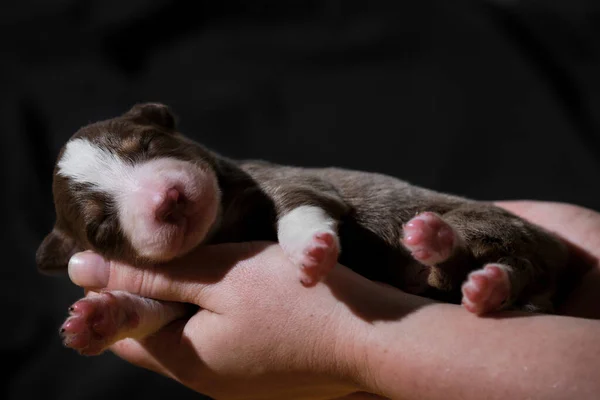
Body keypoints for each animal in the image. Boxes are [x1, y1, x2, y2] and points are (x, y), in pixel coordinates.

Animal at [36, 103, 568, 356]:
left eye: (147, 143)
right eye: (102, 227)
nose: (167, 199)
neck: (220, 226)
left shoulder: (285, 181)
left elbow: (298, 206)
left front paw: (311, 249)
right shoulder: (179, 294)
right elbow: (154, 308)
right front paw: (97, 319)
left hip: (494, 225)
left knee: (492, 253)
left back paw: (439, 244)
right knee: (485, 274)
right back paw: (473, 278)